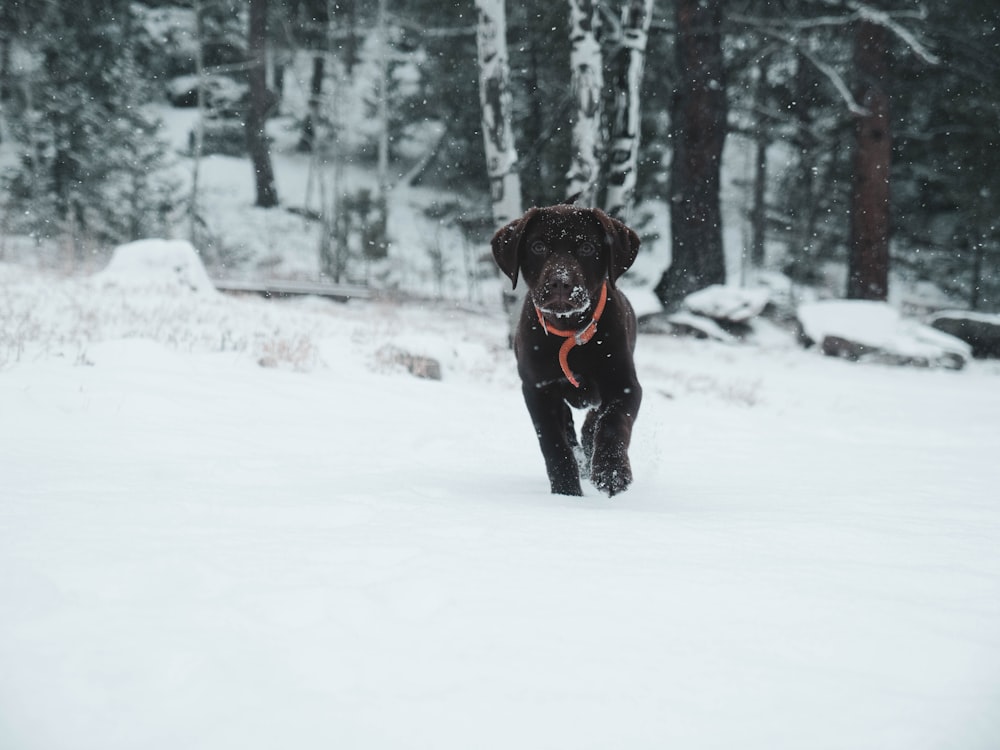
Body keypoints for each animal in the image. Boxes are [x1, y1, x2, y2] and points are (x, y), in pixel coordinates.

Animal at [490, 204, 640, 500]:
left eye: (587, 247)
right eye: (537, 247)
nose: (560, 282)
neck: (570, 331)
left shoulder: (625, 384)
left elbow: (613, 422)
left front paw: (611, 473)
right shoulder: (538, 389)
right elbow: (553, 443)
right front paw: (566, 492)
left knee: (594, 419)